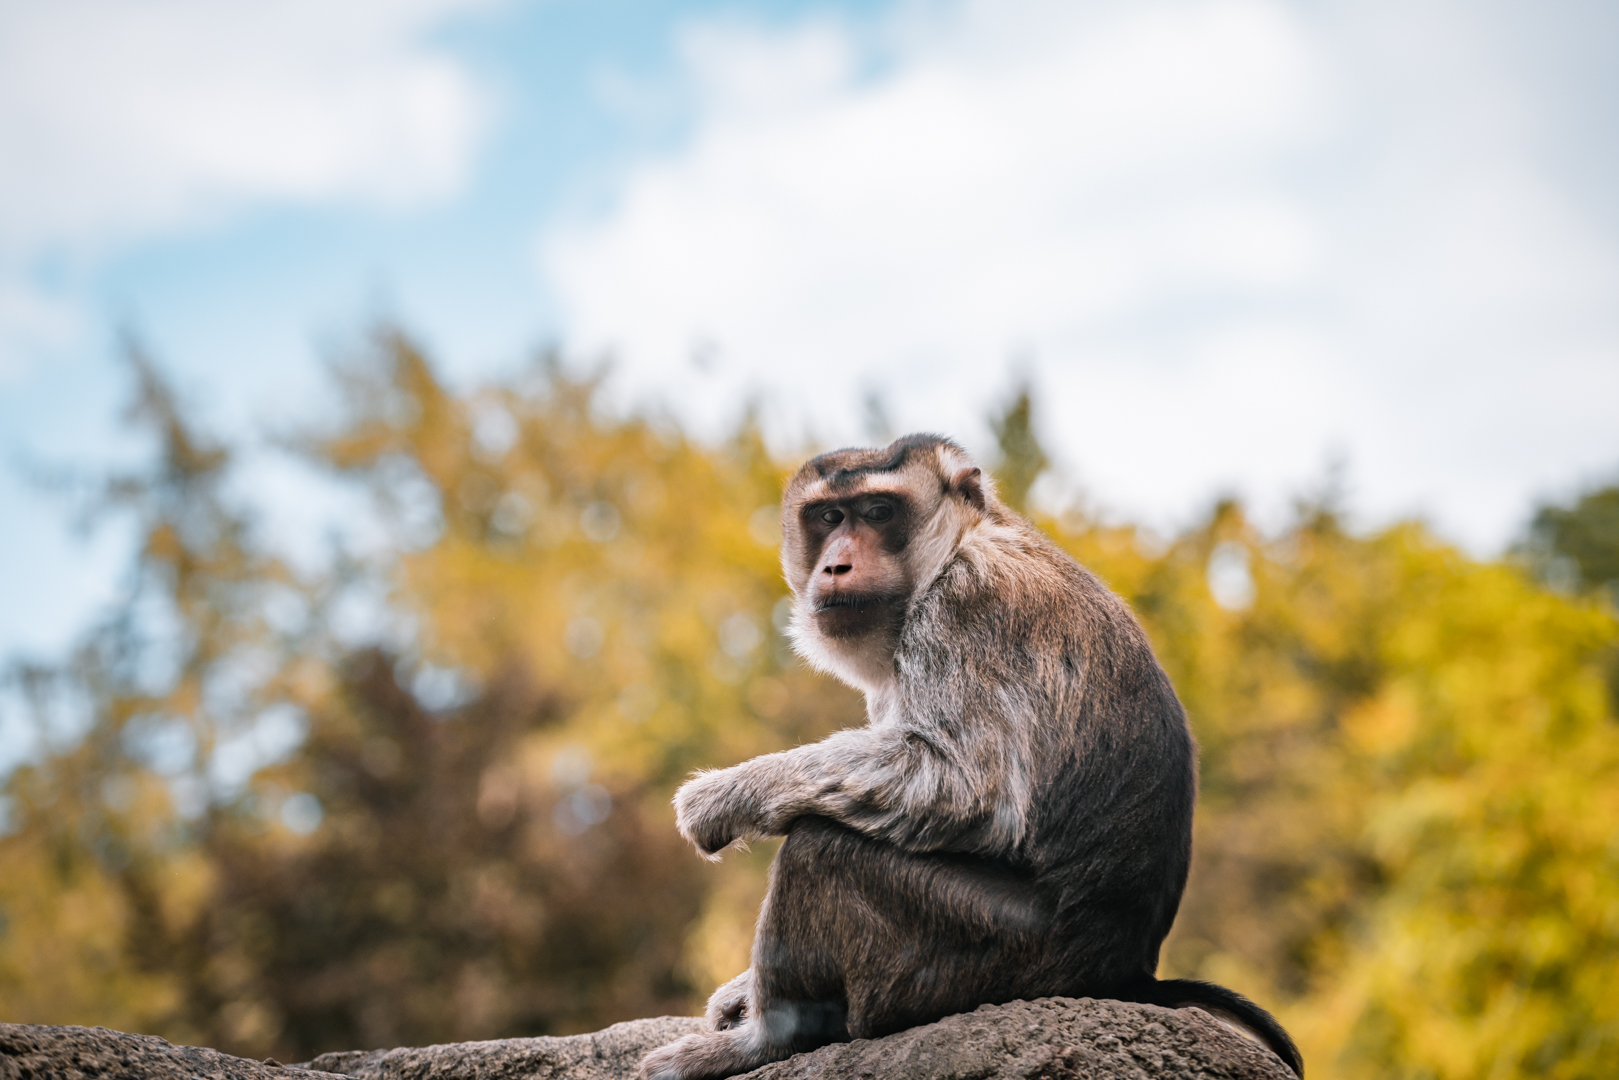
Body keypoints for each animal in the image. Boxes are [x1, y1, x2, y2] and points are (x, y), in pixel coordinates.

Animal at [639, 434, 1302, 1080]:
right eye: (829, 517)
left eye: (878, 513)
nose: (836, 562)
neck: (959, 542)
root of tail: (1126, 969)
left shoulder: (964, 606)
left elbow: (964, 787)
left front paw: (723, 795)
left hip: (996, 958)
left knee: (820, 849)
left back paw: (769, 1041)